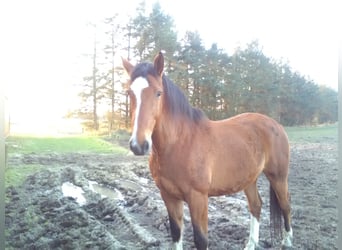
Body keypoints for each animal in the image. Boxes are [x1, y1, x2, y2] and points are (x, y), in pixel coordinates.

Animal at [121, 51, 292, 249]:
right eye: (129, 93)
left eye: (158, 93)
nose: (139, 145)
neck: (180, 143)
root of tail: (276, 125)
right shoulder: (168, 196)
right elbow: (176, 233)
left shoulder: (198, 198)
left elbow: (201, 239)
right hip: (249, 179)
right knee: (256, 206)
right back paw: (250, 244)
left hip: (278, 177)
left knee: (286, 205)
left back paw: (287, 241)